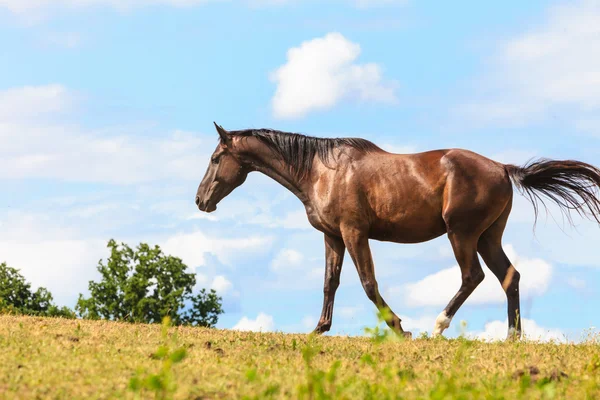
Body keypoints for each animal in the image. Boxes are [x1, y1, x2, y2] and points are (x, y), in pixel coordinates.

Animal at [196, 122, 600, 340]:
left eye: (215, 158)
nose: (201, 200)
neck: (320, 171)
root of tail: (503, 168)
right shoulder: (332, 236)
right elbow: (330, 283)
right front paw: (319, 329)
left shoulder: (354, 233)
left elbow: (368, 283)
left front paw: (399, 328)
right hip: (488, 237)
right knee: (509, 277)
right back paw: (512, 337)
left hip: (461, 235)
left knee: (473, 276)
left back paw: (438, 326)